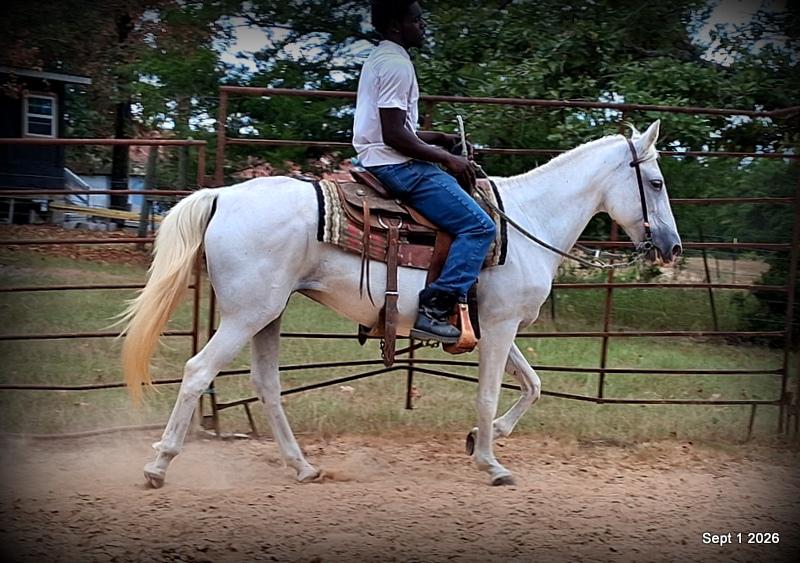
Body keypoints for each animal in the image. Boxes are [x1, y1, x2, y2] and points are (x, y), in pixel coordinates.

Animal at [120, 120, 681, 488]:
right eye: (655, 182)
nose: (672, 246)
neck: (527, 220)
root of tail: (222, 196)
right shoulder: (500, 325)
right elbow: (490, 394)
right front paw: (491, 463)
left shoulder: (497, 326)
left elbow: (533, 385)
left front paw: (481, 438)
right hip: (246, 315)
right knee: (198, 372)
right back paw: (158, 464)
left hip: (268, 315)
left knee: (266, 386)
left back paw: (303, 466)